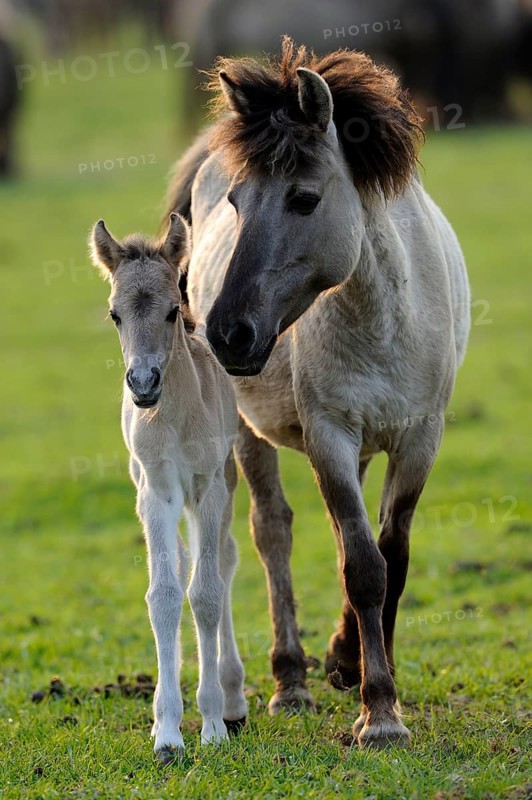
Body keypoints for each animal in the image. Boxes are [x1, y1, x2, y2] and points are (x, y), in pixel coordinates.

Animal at [89, 213, 247, 763]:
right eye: (115, 314)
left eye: (172, 310)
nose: (143, 384)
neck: (172, 416)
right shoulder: (155, 491)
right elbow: (163, 594)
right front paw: (168, 732)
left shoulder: (206, 487)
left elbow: (206, 593)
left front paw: (213, 725)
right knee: (180, 563)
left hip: (227, 480)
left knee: (223, 561)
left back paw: (232, 699)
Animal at [166, 38, 470, 748]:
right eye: (238, 202)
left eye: (305, 199)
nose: (227, 332)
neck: (384, 314)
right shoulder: (330, 434)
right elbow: (364, 568)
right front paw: (379, 712)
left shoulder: (420, 438)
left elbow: (391, 559)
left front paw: (363, 674)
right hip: (249, 436)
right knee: (271, 533)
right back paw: (290, 683)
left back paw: (336, 659)